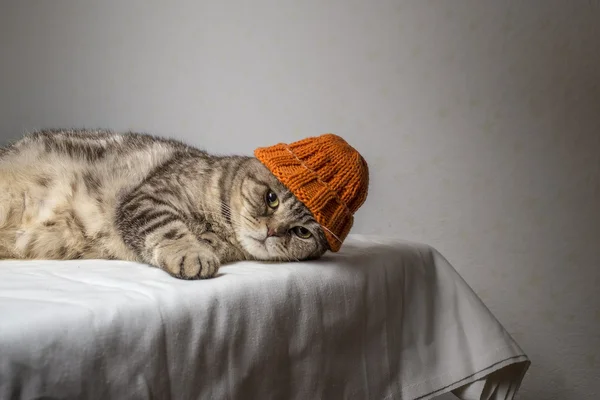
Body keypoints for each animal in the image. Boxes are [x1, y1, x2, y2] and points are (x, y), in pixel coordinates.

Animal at [0, 130, 328, 280]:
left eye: (302, 232)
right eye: (272, 198)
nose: (272, 231)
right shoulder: (148, 197)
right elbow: (170, 229)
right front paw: (192, 255)